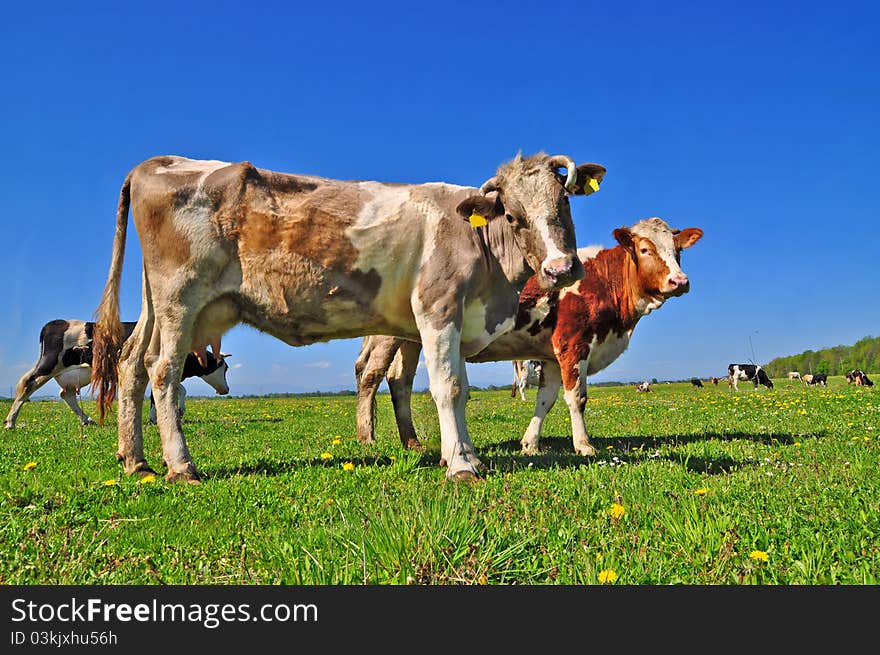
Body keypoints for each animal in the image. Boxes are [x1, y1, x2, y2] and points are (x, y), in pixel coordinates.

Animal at [3, 318, 230, 430]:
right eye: (225, 368)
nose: (226, 389)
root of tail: (54, 322)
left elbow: (166, 393)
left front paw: (161, 416)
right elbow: (177, 389)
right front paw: (171, 413)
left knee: (66, 394)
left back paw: (87, 420)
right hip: (50, 363)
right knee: (27, 383)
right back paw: (10, 422)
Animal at [94, 154, 604, 482]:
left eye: (564, 201)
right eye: (514, 216)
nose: (561, 268)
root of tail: (157, 162)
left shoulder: (458, 318)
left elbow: (458, 388)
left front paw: (460, 455)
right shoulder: (438, 307)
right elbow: (449, 387)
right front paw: (461, 466)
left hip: (160, 304)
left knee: (131, 364)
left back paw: (135, 460)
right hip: (179, 298)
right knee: (163, 371)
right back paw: (180, 466)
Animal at [354, 218, 704, 454]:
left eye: (678, 251)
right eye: (645, 249)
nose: (680, 281)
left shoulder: (549, 356)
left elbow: (545, 400)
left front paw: (530, 443)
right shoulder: (574, 344)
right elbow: (577, 398)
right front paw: (584, 445)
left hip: (411, 339)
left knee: (400, 381)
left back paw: (411, 441)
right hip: (387, 338)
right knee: (371, 376)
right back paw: (367, 436)